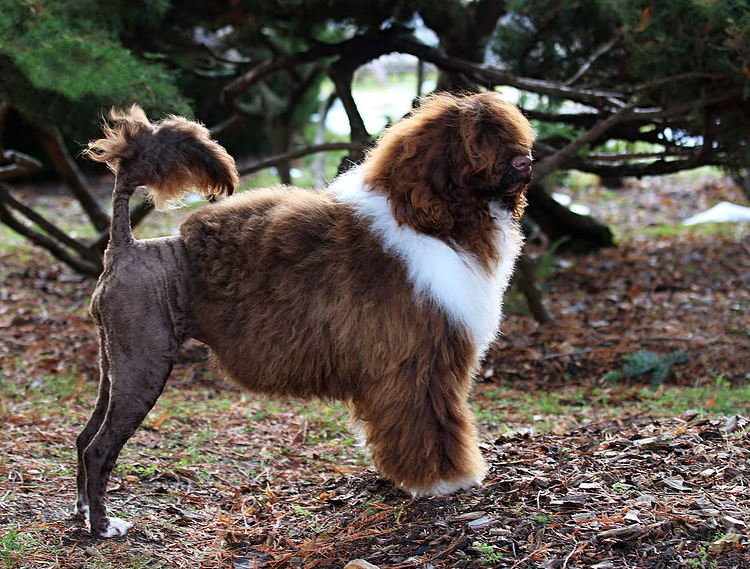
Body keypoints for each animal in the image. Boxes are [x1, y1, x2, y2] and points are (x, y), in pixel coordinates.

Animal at [75, 93, 536, 536]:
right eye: (477, 141)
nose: (526, 161)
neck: (428, 218)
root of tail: (124, 247)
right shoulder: (417, 368)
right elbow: (434, 426)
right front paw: (443, 481)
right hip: (143, 367)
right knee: (99, 449)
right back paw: (103, 526)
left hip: (113, 367)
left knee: (83, 439)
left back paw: (81, 513)